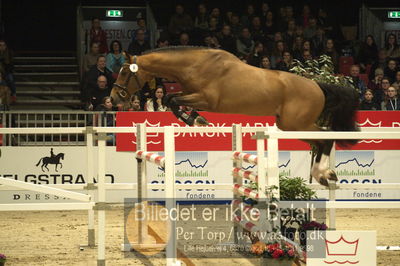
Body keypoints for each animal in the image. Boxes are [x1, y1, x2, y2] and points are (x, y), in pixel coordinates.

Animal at [110, 46, 360, 186]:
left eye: (123, 72)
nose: (113, 98)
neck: (194, 65)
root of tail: (318, 86)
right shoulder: (191, 94)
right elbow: (172, 99)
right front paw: (196, 120)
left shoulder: (206, 99)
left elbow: (173, 100)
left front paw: (195, 120)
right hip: (290, 126)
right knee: (320, 141)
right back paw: (323, 175)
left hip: (297, 124)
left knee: (326, 138)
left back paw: (323, 174)